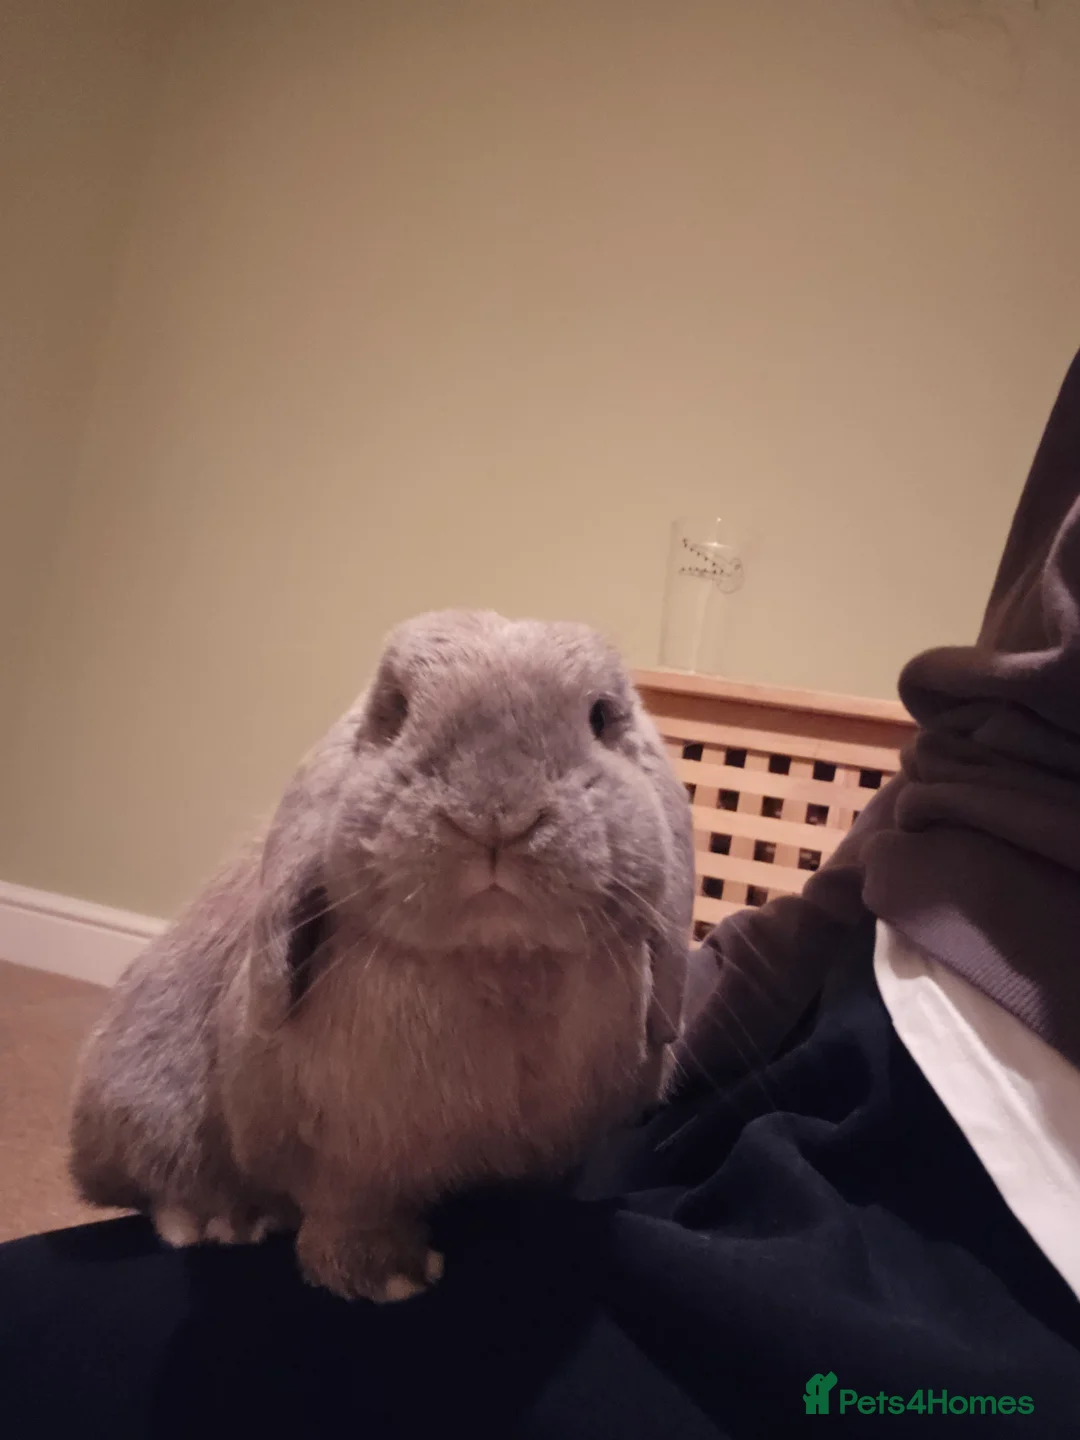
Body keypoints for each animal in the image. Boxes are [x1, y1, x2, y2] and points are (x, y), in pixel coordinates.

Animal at [70, 609, 694, 1302]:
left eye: (601, 717)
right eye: (395, 710)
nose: (497, 815)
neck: (499, 958)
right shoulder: (350, 1157)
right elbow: (353, 1206)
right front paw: (385, 1277)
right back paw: (224, 1220)